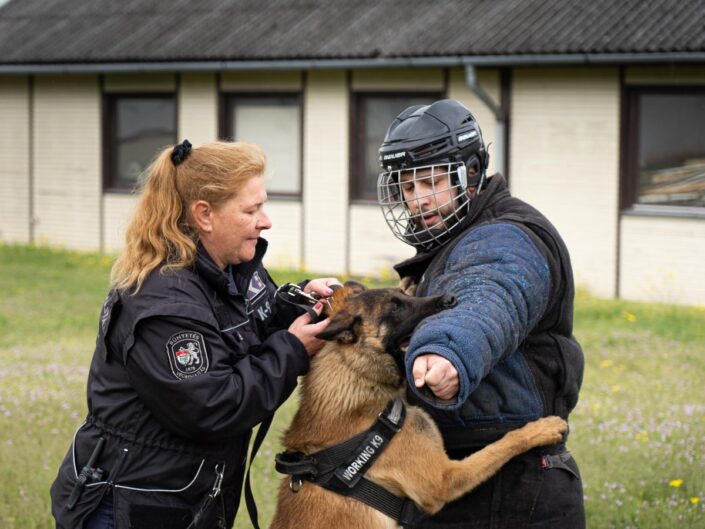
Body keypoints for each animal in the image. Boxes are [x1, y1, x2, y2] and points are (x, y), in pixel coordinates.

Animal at [270, 284, 568, 528]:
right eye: (395, 307)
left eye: (403, 295)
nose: (450, 299)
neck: (360, 372)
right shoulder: (442, 480)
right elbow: (501, 445)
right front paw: (543, 428)